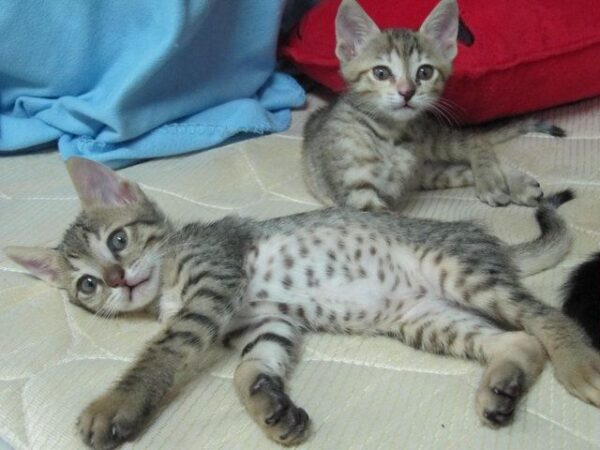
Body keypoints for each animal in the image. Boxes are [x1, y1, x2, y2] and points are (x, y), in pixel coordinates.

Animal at [5, 159, 600, 450]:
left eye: (119, 240)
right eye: (86, 285)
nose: (115, 279)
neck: (169, 275)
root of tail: (482, 237)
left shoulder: (213, 284)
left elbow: (163, 351)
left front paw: (115, 406)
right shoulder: (265, 323)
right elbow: (249, 369)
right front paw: (270, 407)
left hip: (459, 273)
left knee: (545, 316)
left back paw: (580, 366)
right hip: (424, 318)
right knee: (519, 338)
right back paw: (503, 384)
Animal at [302, 0, 564, 211]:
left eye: (425, 72)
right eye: (381, 73)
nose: (407, 92)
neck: (391, 136)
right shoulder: (357, 193)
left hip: (432, 144)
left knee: (476, 140)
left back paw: (495, 180)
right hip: (429, 173)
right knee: (463, 167)